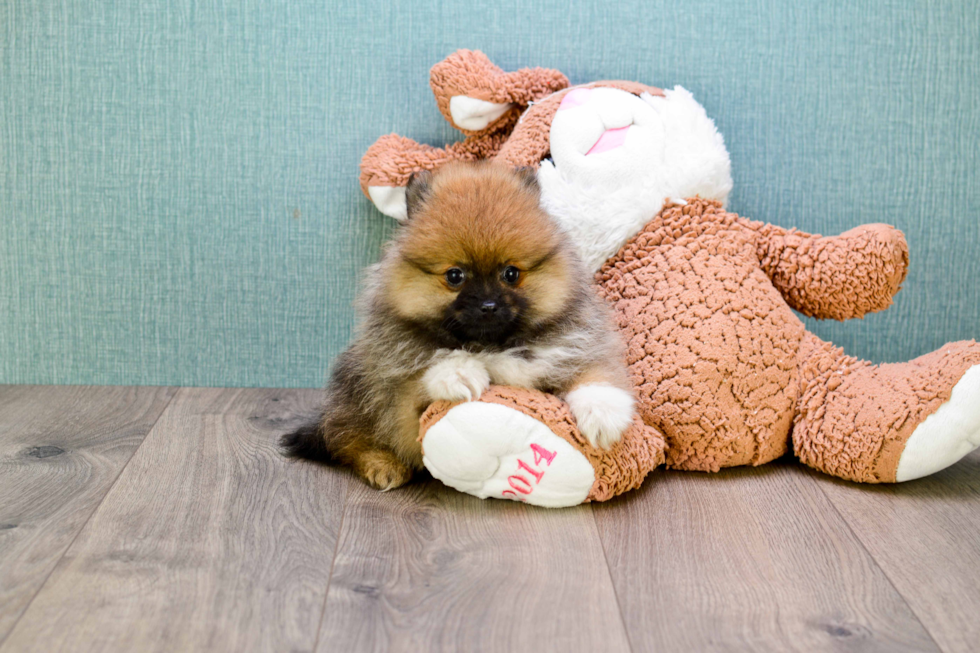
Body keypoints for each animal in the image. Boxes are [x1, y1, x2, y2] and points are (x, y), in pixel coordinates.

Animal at [284, 162, 636, 488]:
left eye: (511, 273)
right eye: (455, 276)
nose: (488, 306)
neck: (490, 346)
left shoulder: (573, 348)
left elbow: (595, 374)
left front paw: (603, 415)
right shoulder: (399, 398)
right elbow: (420, 377)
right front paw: (458, 372)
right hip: (354, 387)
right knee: (345, 438)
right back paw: (383, 465)